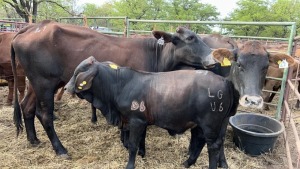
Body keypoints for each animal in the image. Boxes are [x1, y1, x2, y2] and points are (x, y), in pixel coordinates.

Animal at [11, 19, 218, 157]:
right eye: (190, 38)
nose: (214, 57)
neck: (156, 57)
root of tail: (33, 26)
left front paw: (125, 143)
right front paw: (138, 150)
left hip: (37, 83)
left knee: (27, 107)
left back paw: (33, 140)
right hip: (44, 83)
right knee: (45, 115)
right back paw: (60, 149)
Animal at [64, 40, 268, 168]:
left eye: (78, 72)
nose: (66, 88)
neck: (120, 84)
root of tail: (224, 81)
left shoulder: (136, 120)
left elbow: (132, 146)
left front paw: (130, 164)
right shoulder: (137, 122)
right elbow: (139, 142)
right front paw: (143, 154)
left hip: (211, 125)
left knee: (214, 147)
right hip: (206, 124)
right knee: (201, 141)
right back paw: (187, 163)